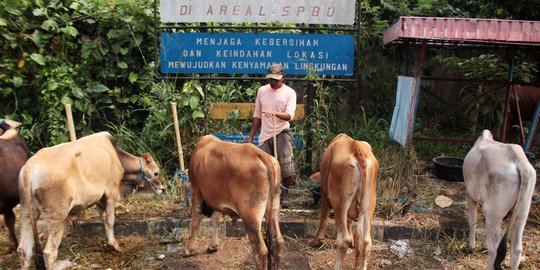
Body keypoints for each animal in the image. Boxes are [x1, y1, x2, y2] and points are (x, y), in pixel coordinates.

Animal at [17, 132, 165, 268]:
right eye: (156, 173)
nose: (163, 189)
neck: (117, 157)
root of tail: (29, 169)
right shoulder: (111, 192)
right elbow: (110, 220)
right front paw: (115, 245)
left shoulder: (100, 199)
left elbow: (104, 219)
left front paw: (109, 243)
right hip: (57, 217)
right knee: (49, 252)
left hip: (26, 213)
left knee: (24, 250)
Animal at [186, 135, 284, 270]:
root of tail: (259, 154)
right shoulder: (217, 198)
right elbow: (216, 220)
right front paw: (213, 246)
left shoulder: (196, 189)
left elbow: (195, 221)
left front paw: (189, 249)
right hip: (274, 206)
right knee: (278, 242)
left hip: (250, 215)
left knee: (261, 250)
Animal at [310, 133, 378, 270]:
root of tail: (356, 147)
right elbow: (350, 221)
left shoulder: (324, 191)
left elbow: (324, 215)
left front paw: (317, 240)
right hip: (369, 203)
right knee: (366, 241)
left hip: (339, 202)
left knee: (343, 240)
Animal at [462, 130, 536, 268]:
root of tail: (519, 160)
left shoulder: (470, 195)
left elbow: (472, 220)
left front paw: (471, 246)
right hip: (522, 213)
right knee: (516, 249)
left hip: (494, 213)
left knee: (495, 247)